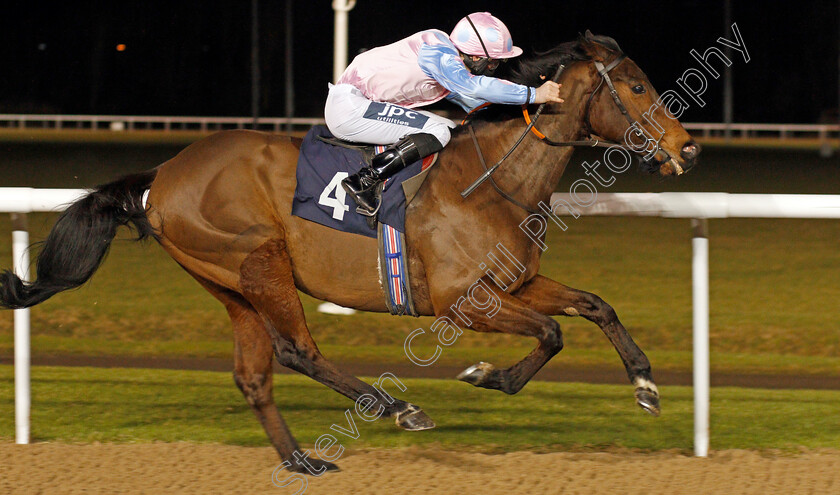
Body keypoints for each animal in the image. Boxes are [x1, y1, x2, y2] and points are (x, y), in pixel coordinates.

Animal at [0, 33, 700, 474]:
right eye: (638, 87)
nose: (687, 148)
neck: (491, 181)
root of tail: (162, 176)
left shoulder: (514, 284)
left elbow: (594, 306)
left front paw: (645, 386)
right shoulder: (462, 302)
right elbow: (553, 332)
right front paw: (487, 375)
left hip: (228, 283)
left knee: (254, 374)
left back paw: (301, 462)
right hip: (260, 263)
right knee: (295, 350)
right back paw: (395, 407)